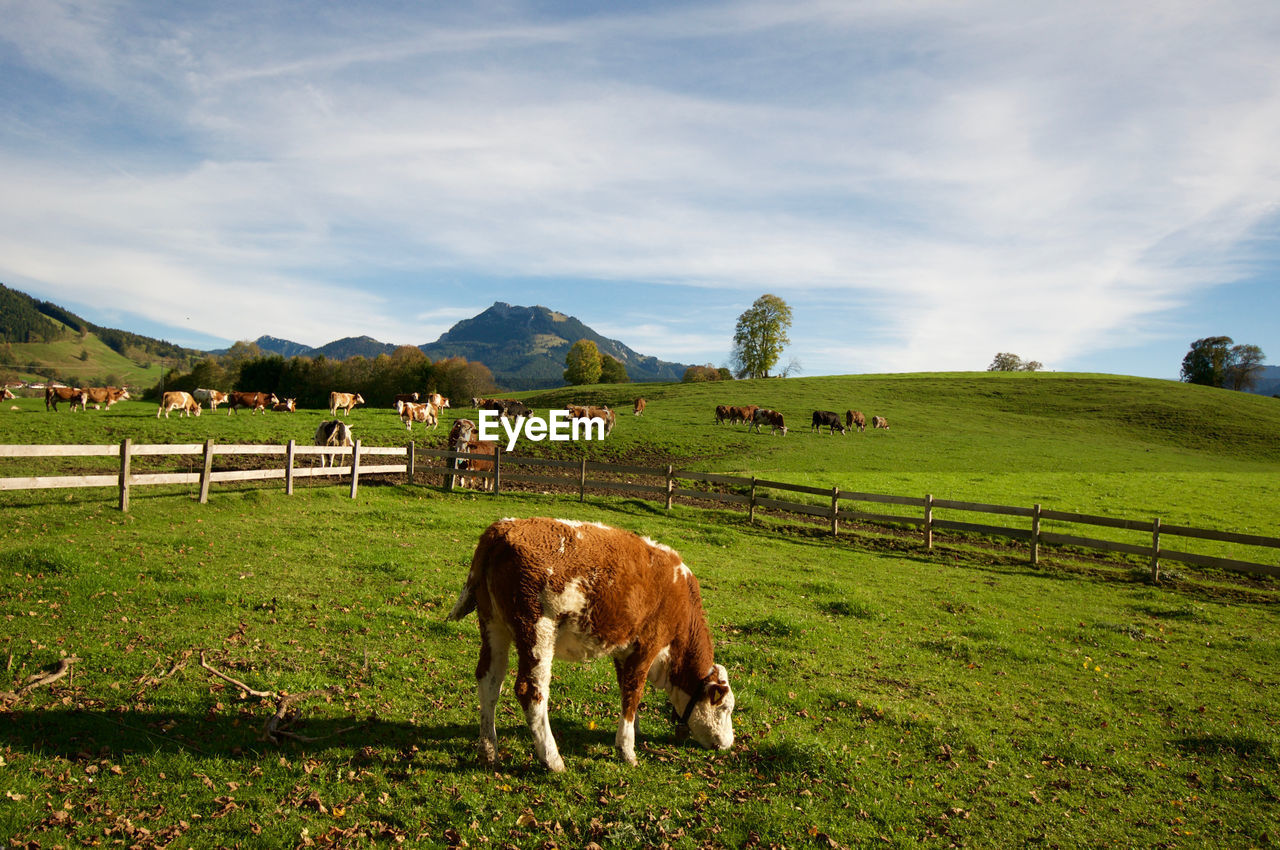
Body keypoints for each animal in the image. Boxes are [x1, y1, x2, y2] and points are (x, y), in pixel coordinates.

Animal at [448, 517, 732, 768]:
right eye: (725, 708)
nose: (729, 743)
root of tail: (502, 529)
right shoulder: (647, 645)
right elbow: (634, 691)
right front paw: (627, 750)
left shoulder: (624, 650)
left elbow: (626, 691)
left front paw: (633, 729)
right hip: (537, 632)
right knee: (531, 690)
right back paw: (552, 760)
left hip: (492, 625)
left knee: (489, 681)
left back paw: (488, 752)